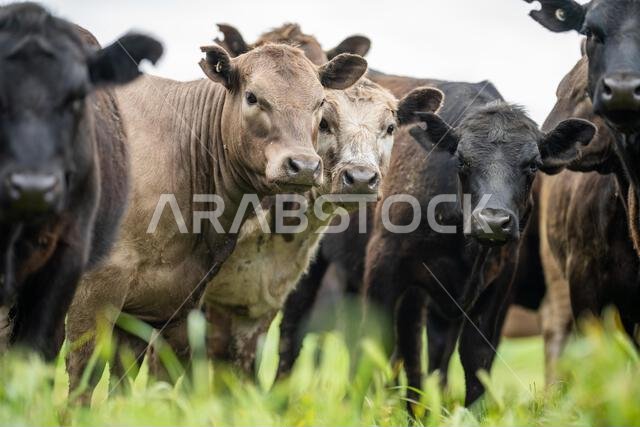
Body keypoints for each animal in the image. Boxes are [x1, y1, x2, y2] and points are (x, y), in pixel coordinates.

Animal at [65, 38, 368, 397]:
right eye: (252, 97)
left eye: (320, 103)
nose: (304, 166)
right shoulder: (98, 287)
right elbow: (85, 372)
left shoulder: (173, 300)